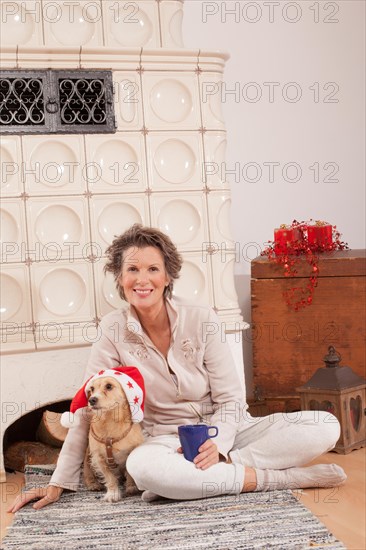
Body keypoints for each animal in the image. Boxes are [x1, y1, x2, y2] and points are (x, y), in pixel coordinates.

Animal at [83, 376, 144, 504]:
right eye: (92, 388)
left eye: (109, 386)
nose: (91, 400)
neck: (110, 420)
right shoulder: (99, 458)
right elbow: (110, 478)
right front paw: (113, 493)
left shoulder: (132, 452)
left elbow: (129, 472)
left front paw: (131, 487)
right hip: (88, 457)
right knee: (87, 473)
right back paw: (93, 484)